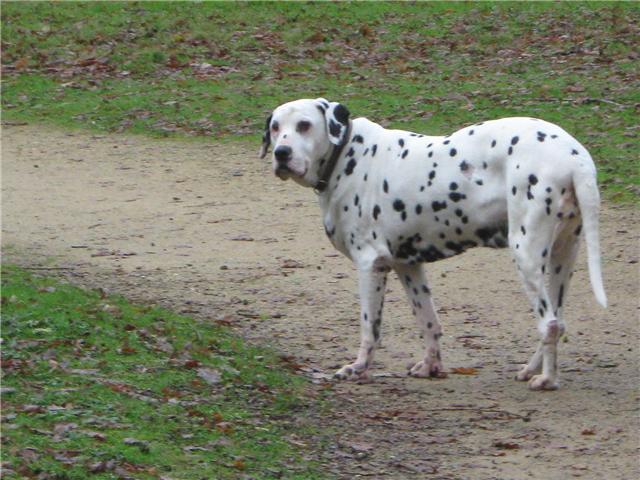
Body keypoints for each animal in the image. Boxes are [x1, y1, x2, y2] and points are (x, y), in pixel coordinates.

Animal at [258, 97, 604, 390]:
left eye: (304, 125)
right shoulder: (408, 267)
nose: (281, 153)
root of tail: (574, 156)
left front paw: (359, 368)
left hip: (527, 255)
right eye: (276, 127)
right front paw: (430, 365)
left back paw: (547, 379)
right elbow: (428, 322)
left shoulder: (370, 266)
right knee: (558, 321)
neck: (347, 156)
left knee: (549, 324)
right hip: (561, 259)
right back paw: (532, 369)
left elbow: (370, 329)